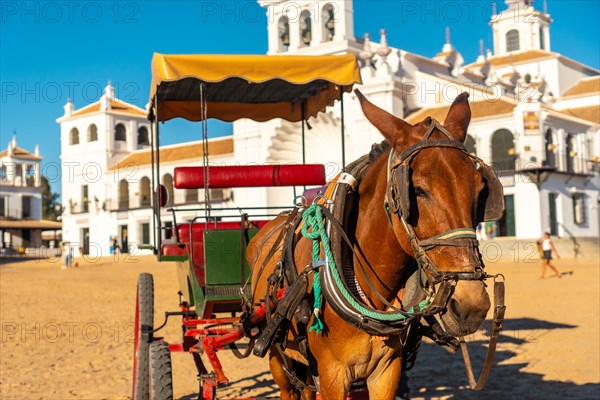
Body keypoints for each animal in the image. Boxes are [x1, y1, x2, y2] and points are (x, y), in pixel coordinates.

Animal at [247, 90, 492, 400]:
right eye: (416, 190)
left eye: (481, 190)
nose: (471, 305)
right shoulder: (332, 375)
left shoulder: (387, 371)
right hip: (278, 356)